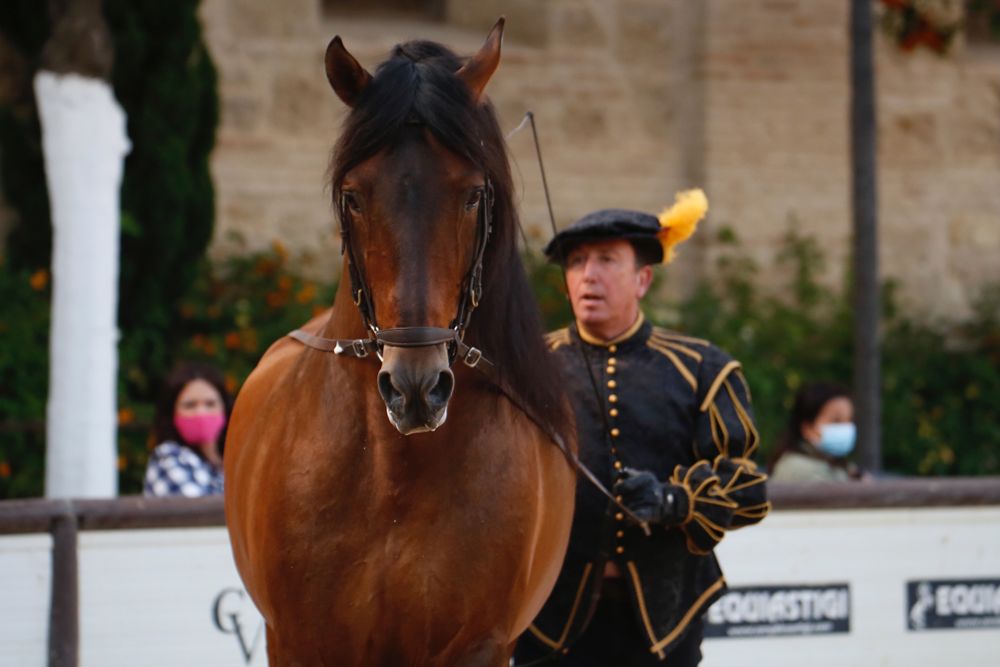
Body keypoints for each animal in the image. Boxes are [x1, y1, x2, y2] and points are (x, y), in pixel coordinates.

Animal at [222, 18, 576, 664]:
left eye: (472, 194)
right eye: (354, 195)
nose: (415, 388)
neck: (390, 480)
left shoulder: (481, 645)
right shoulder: (297, 640)